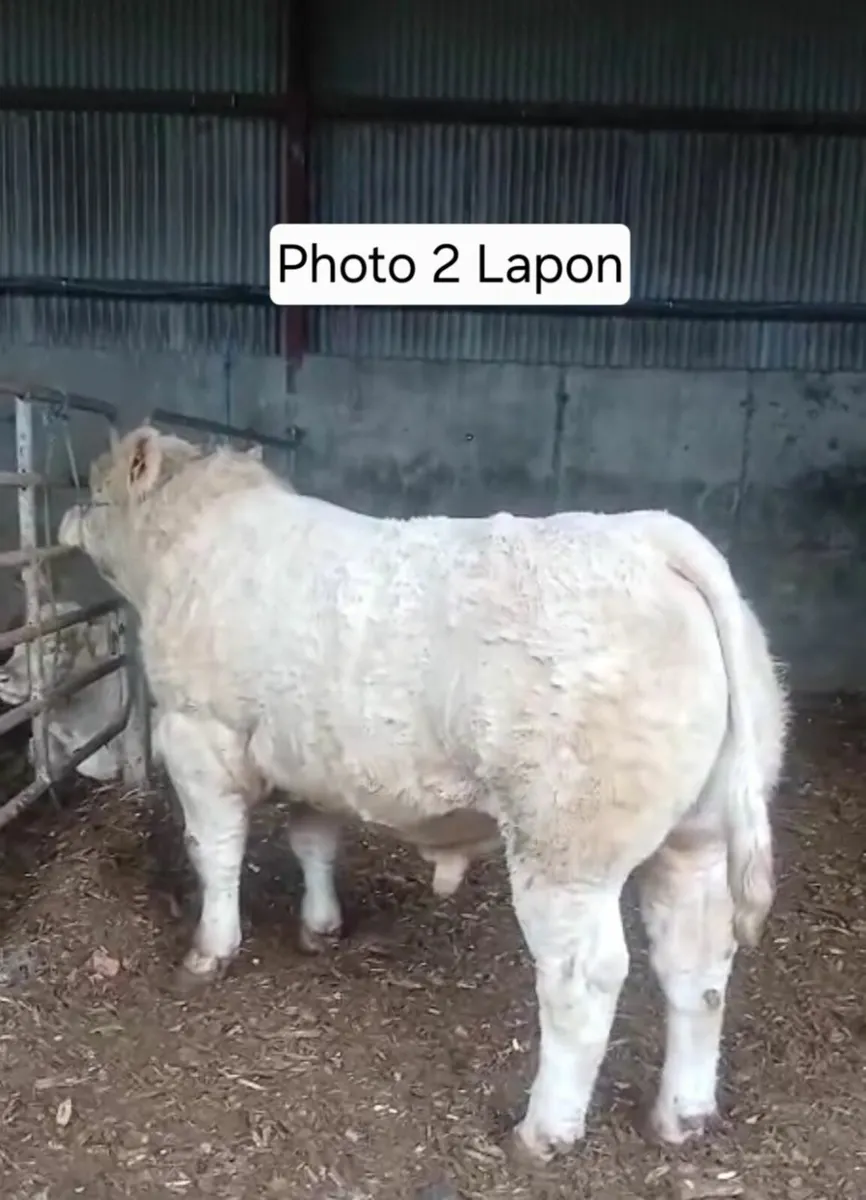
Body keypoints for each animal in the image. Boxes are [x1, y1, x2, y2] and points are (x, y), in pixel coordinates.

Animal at [57, 424, 789, 1164]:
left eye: (92, 487)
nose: (67, 518)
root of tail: (652, 536)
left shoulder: (197, 732)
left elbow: (215, 850)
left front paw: (210, 950)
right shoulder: (314, 754)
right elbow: (313, 839)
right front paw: (320, 926)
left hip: (565, 844)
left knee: (584, 976)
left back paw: (543, 1131)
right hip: (695, 838)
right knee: (696, 960)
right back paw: (682, 1114)